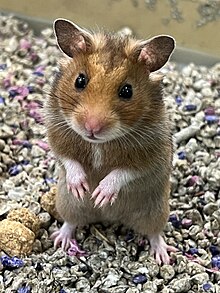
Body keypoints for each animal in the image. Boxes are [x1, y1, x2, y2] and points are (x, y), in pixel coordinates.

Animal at [44, 18, 177, 264]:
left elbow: (123, 172)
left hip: (155, 211)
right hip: (67, 204)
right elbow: (69, 160)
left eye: (127, 90)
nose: (91, 128)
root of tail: (111, 218)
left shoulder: (150, 157)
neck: (99, 144)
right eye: (80, 80)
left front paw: (100, 195)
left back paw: (162, 255)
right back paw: (61, 239)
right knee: (71, 221)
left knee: (154, 233)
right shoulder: (56, 135)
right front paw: (82, 187)